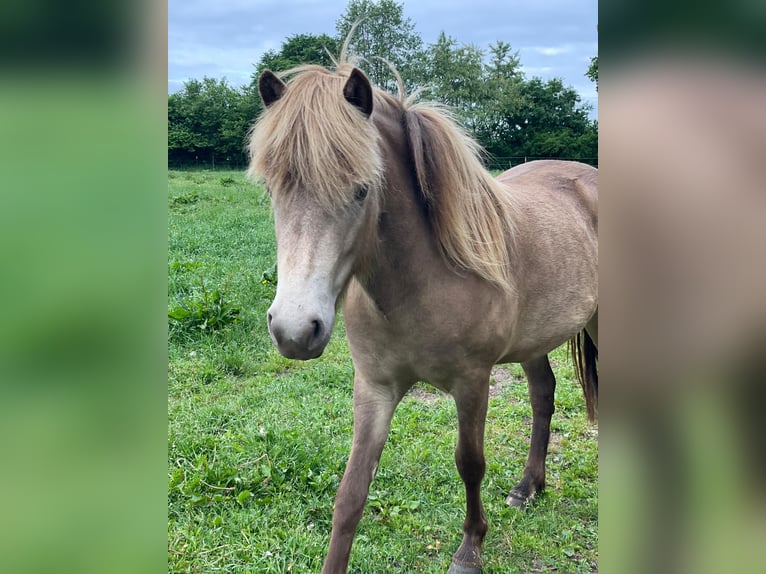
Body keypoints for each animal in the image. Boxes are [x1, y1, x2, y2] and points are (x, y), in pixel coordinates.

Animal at [247, 50, 598, 574]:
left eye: (362, 190)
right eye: (272, 190)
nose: (294, 330)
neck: (420, 283)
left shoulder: (473, 383)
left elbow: (470, 463)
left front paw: (470, 549)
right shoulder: (374, 387)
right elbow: (351, 493)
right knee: (543, 395)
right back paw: (527, 487)